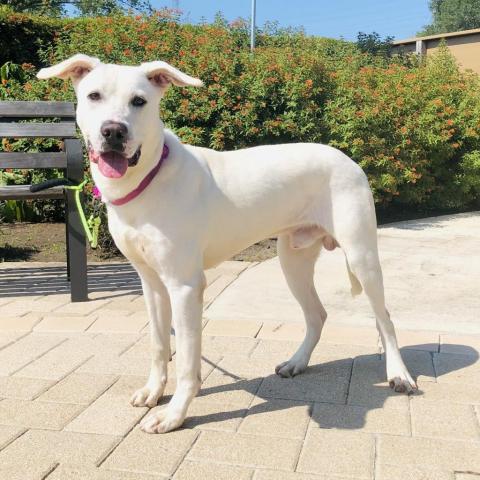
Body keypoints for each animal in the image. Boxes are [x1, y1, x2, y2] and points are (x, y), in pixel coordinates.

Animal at [37, 54, 416, 434]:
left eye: (139, 101)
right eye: (94, 96)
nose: (114, 131)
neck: (148, 179)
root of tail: (346, 158)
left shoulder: (185, 286)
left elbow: (187, 360)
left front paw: (174, 414)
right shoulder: (151, 283)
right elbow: (159, 344)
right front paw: (153, 392)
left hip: (362, 256)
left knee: (385, 318)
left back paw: (399, 374)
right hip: (292, 259)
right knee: (317, 315)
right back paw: (297, 362)